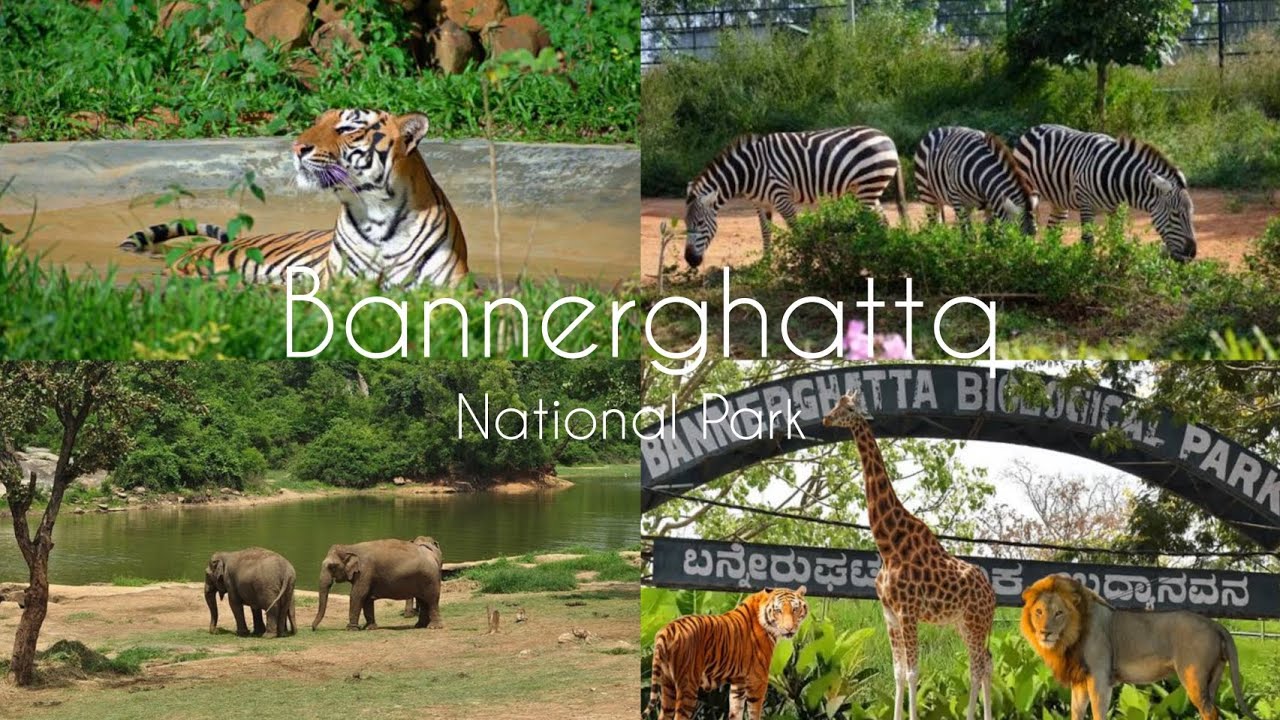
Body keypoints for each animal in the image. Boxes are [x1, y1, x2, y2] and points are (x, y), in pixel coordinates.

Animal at [647, 586, 808, 720]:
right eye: (778, 610)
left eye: (795, 609)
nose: (789, 629)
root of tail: (666, 630)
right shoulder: (758, 678)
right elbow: (754, 712)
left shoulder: (739, 682)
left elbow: (736, 711)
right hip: (687, 685)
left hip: (667, 685)